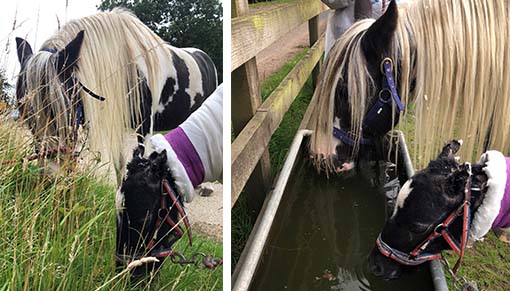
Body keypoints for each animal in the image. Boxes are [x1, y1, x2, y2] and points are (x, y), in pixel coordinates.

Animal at [13, 9, 217, 184]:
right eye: (26, 113)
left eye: (62, 109)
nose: (48, 176)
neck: (128, 68)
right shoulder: (117, 123)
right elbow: (120, 166)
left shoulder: (145, 127)